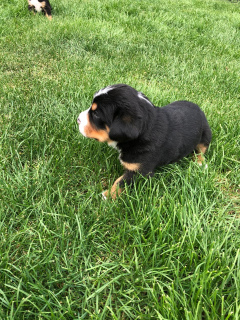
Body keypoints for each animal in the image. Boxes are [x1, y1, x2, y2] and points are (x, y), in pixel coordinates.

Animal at [77, 84, 212, 200]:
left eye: (96, 114)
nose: (78, 119)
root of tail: (199, 108)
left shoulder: (139, 170)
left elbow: (121, 182)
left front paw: (107, 195)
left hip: (205, 135)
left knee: (201, 150)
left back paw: (200, 163)